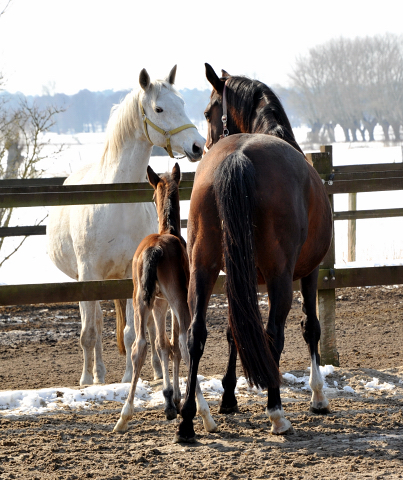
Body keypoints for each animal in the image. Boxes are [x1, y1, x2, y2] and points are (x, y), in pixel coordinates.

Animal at [47, 65, 205, 386]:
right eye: (159, 108)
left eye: (182, 103)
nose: (198, 145)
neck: (115, 204)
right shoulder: (88, 275)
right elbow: (89, 332)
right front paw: (87, 380)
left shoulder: (131, 276)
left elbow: (133, 333)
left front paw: (129, 377)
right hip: (86, 282)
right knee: (93, 323)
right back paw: (95, 374)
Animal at [113, 162, 218, 436]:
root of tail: (155, 249)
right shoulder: (174, 301)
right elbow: (175, 345)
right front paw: (178, 400)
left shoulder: (159, 304)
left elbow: (162, 345)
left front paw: (170, 401)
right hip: (178, 299)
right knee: (184, 342)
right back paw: (205, 414)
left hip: (140, 300)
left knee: (139, 346)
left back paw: (124, 417)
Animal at [177, 63, 334, 442]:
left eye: (207, 112)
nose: (201, 146)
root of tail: (237, 156)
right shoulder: (310, 271)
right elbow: (311, 326)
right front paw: (318, 397)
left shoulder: (236, 275)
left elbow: (235, 330)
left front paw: (228, 397)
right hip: (280, 278)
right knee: (274, 334)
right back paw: (276, 412)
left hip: (203, 268)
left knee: (196, 334)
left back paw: (187, 421)